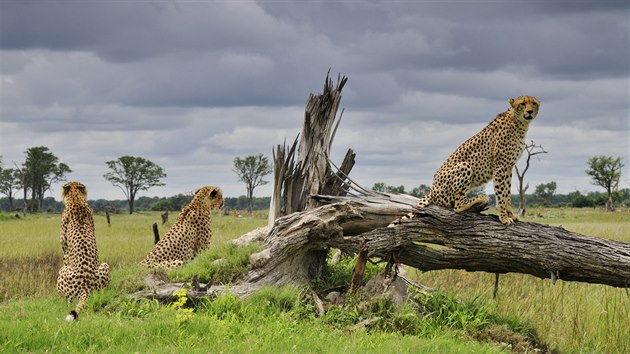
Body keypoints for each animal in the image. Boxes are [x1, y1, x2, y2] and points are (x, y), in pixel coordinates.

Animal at [57, 181, 111, 322]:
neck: (76, 199)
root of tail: (85, 286)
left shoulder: (64, 247)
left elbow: (65, 256)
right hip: (104, 266)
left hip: (62, 271)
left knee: (67, 300)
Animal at [392, 95, 540, 225]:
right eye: (522, 103)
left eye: (533, 103)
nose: (530, 111)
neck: (520, 123)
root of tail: (432, 189)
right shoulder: (500, 167)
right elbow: (501, 194)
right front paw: (503, 218)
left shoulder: (508, 167)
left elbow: (507, 193)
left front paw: (511, 214)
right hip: (465, 165)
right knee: (457, 205)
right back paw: (480, 197)